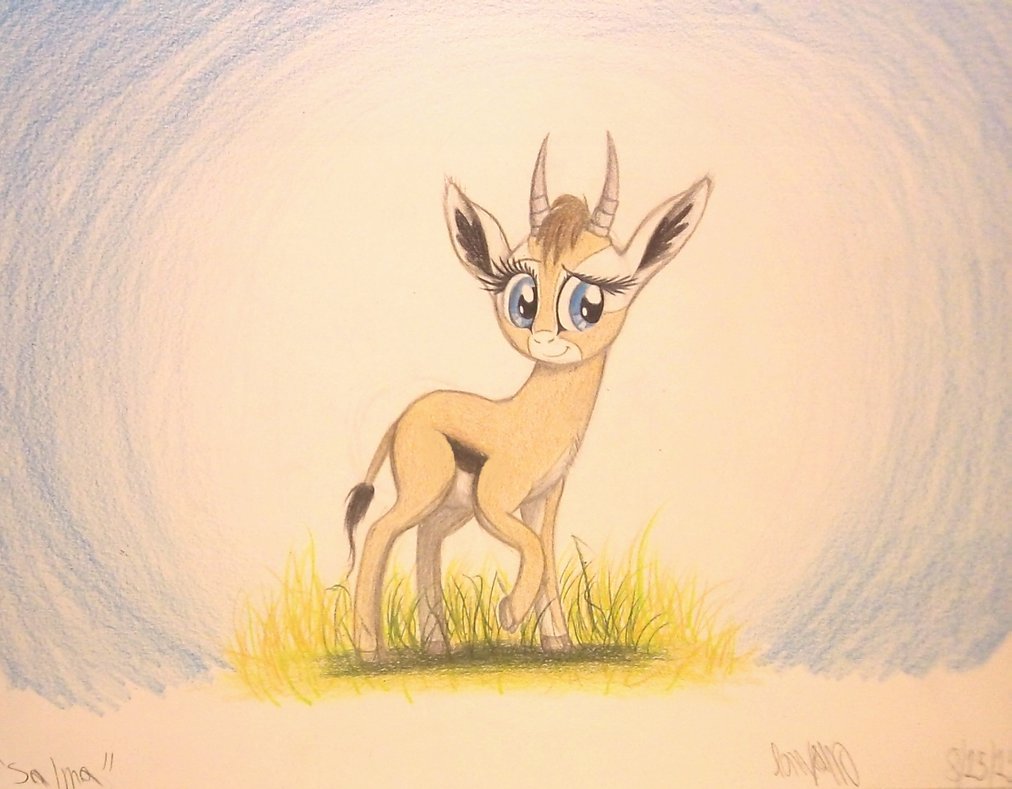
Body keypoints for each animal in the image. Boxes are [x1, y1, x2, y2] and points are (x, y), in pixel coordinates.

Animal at [345, 135, 710, 661]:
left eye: (589, 303)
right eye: (524, 300)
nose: (543, 339)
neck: (533, 416)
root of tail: (405, 416)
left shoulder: (544, 499)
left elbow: (548, 552)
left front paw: (557, 641)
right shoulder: (495, 502)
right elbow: (534, 549)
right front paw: (509, 616)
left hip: (450, 507)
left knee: (424, 538)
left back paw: (438, 646)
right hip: (428, 493)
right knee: (379, 532)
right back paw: (372, 650)